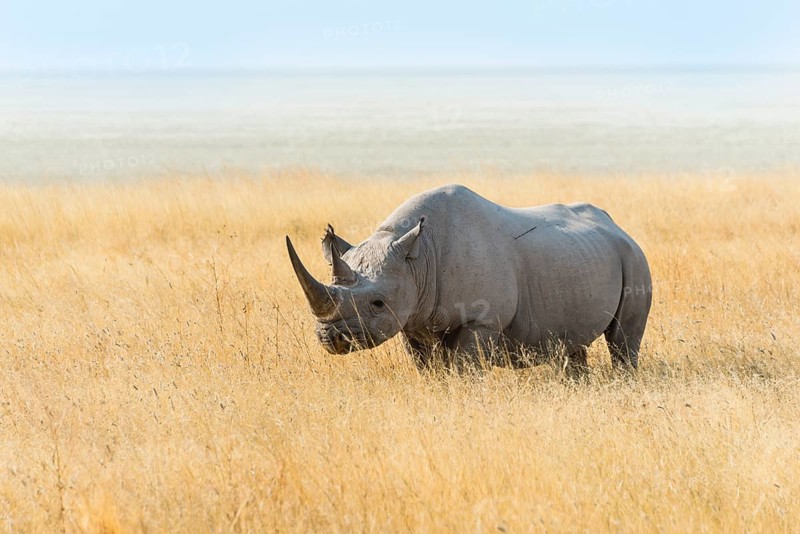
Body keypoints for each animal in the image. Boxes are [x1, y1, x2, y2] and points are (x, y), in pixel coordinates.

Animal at [286, 184, 652, 371]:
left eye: (377, 303)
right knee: (573, 345)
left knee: (623, 340)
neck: (418, 259)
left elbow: (465, 368)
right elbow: (427, 368)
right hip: (583, 255)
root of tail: (618, 226)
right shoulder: (412, 319)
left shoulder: (480, 320)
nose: (331, 339)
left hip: (633, 257)